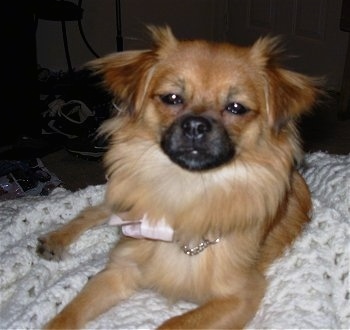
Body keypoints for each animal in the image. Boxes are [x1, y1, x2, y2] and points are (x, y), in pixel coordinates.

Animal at [37, 26, 318, 330]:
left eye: (236, 108)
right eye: (172, 99)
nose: (196, 125)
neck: (186, 189)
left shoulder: (241, 295)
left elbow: (172, 324)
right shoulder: (120, 270)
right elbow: (68, 314)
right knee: (94, 212)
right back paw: (55, 239)